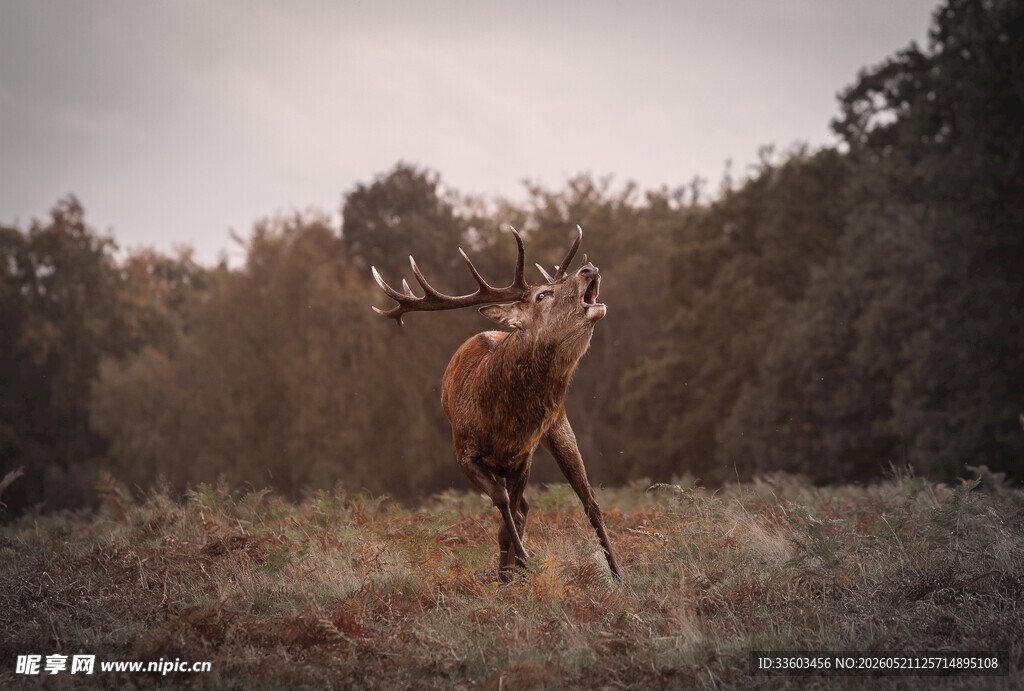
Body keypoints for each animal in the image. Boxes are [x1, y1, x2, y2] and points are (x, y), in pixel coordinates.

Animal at [371, 225, 621, 582]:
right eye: (542, 295)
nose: (589, 269)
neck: (502, 422)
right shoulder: (463, 452)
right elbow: (504, 505)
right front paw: (515, 569)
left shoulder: (523, 456)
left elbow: (509, 518)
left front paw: (518, 568)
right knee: (528, 506)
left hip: (559, 426)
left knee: (589, 499)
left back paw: (617, 575)